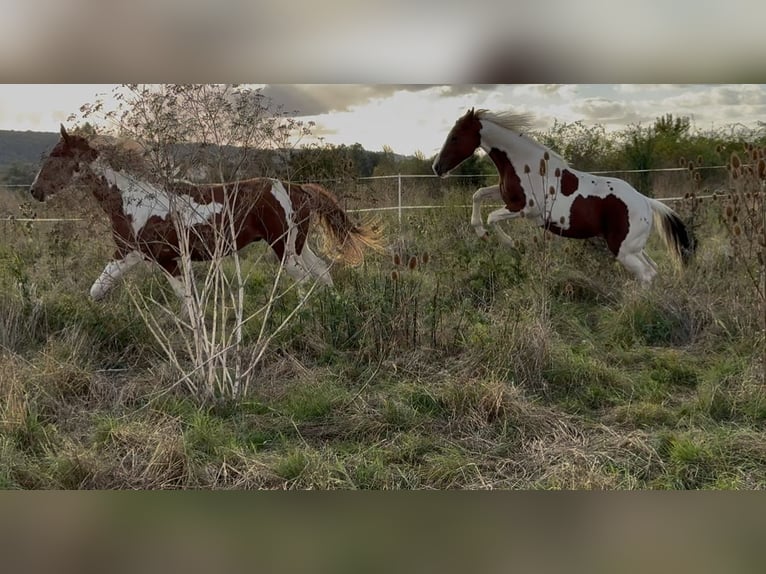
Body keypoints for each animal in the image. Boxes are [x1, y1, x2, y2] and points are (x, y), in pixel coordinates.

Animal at [30, 125, 383, 302]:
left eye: (56, 156)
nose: (35, 191)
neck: (134, 201)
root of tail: (297, 189)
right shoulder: (135, 255)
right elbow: (98, 290)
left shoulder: (154, 257)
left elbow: (187, 300)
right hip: (298, 244)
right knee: (322, 272)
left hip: (283, 247)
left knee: (306, 278)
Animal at [432, 108, 695, 285]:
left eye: (455, 136)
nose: (437, 167)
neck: (527, 165)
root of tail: (646, 202)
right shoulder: (506, 197)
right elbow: (478, 195)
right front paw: (480, 232)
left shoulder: (525, 208)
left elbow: (492, 217)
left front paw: (509, 243)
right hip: (634, 247)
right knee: (654, 269)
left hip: (624, 250)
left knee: (646, 274)